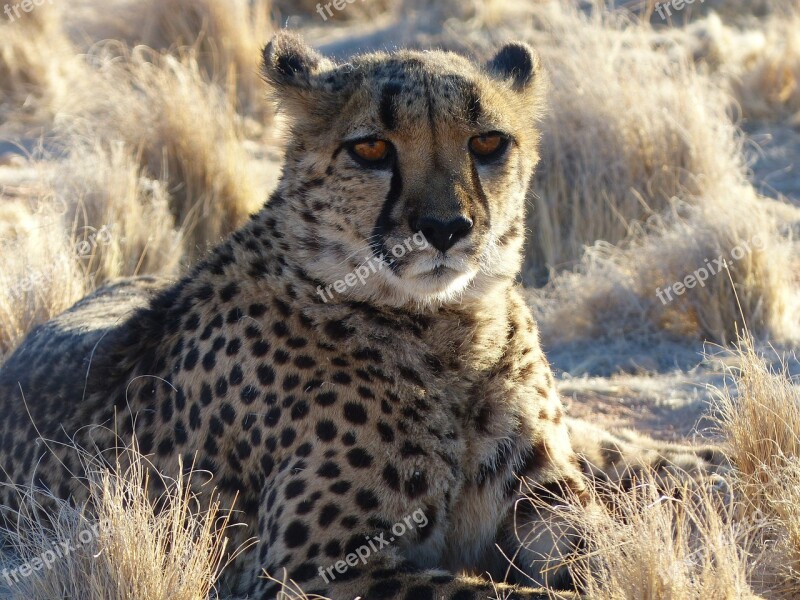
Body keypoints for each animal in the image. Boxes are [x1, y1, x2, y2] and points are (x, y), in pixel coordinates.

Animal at [0, 34, 724, 600]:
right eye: (371, 150)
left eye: (488, 141)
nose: (446, 228)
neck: (449, 329)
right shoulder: (313, 569)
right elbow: (499, 592)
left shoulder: (547, 502)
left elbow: (607, 555)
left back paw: (712, 461)